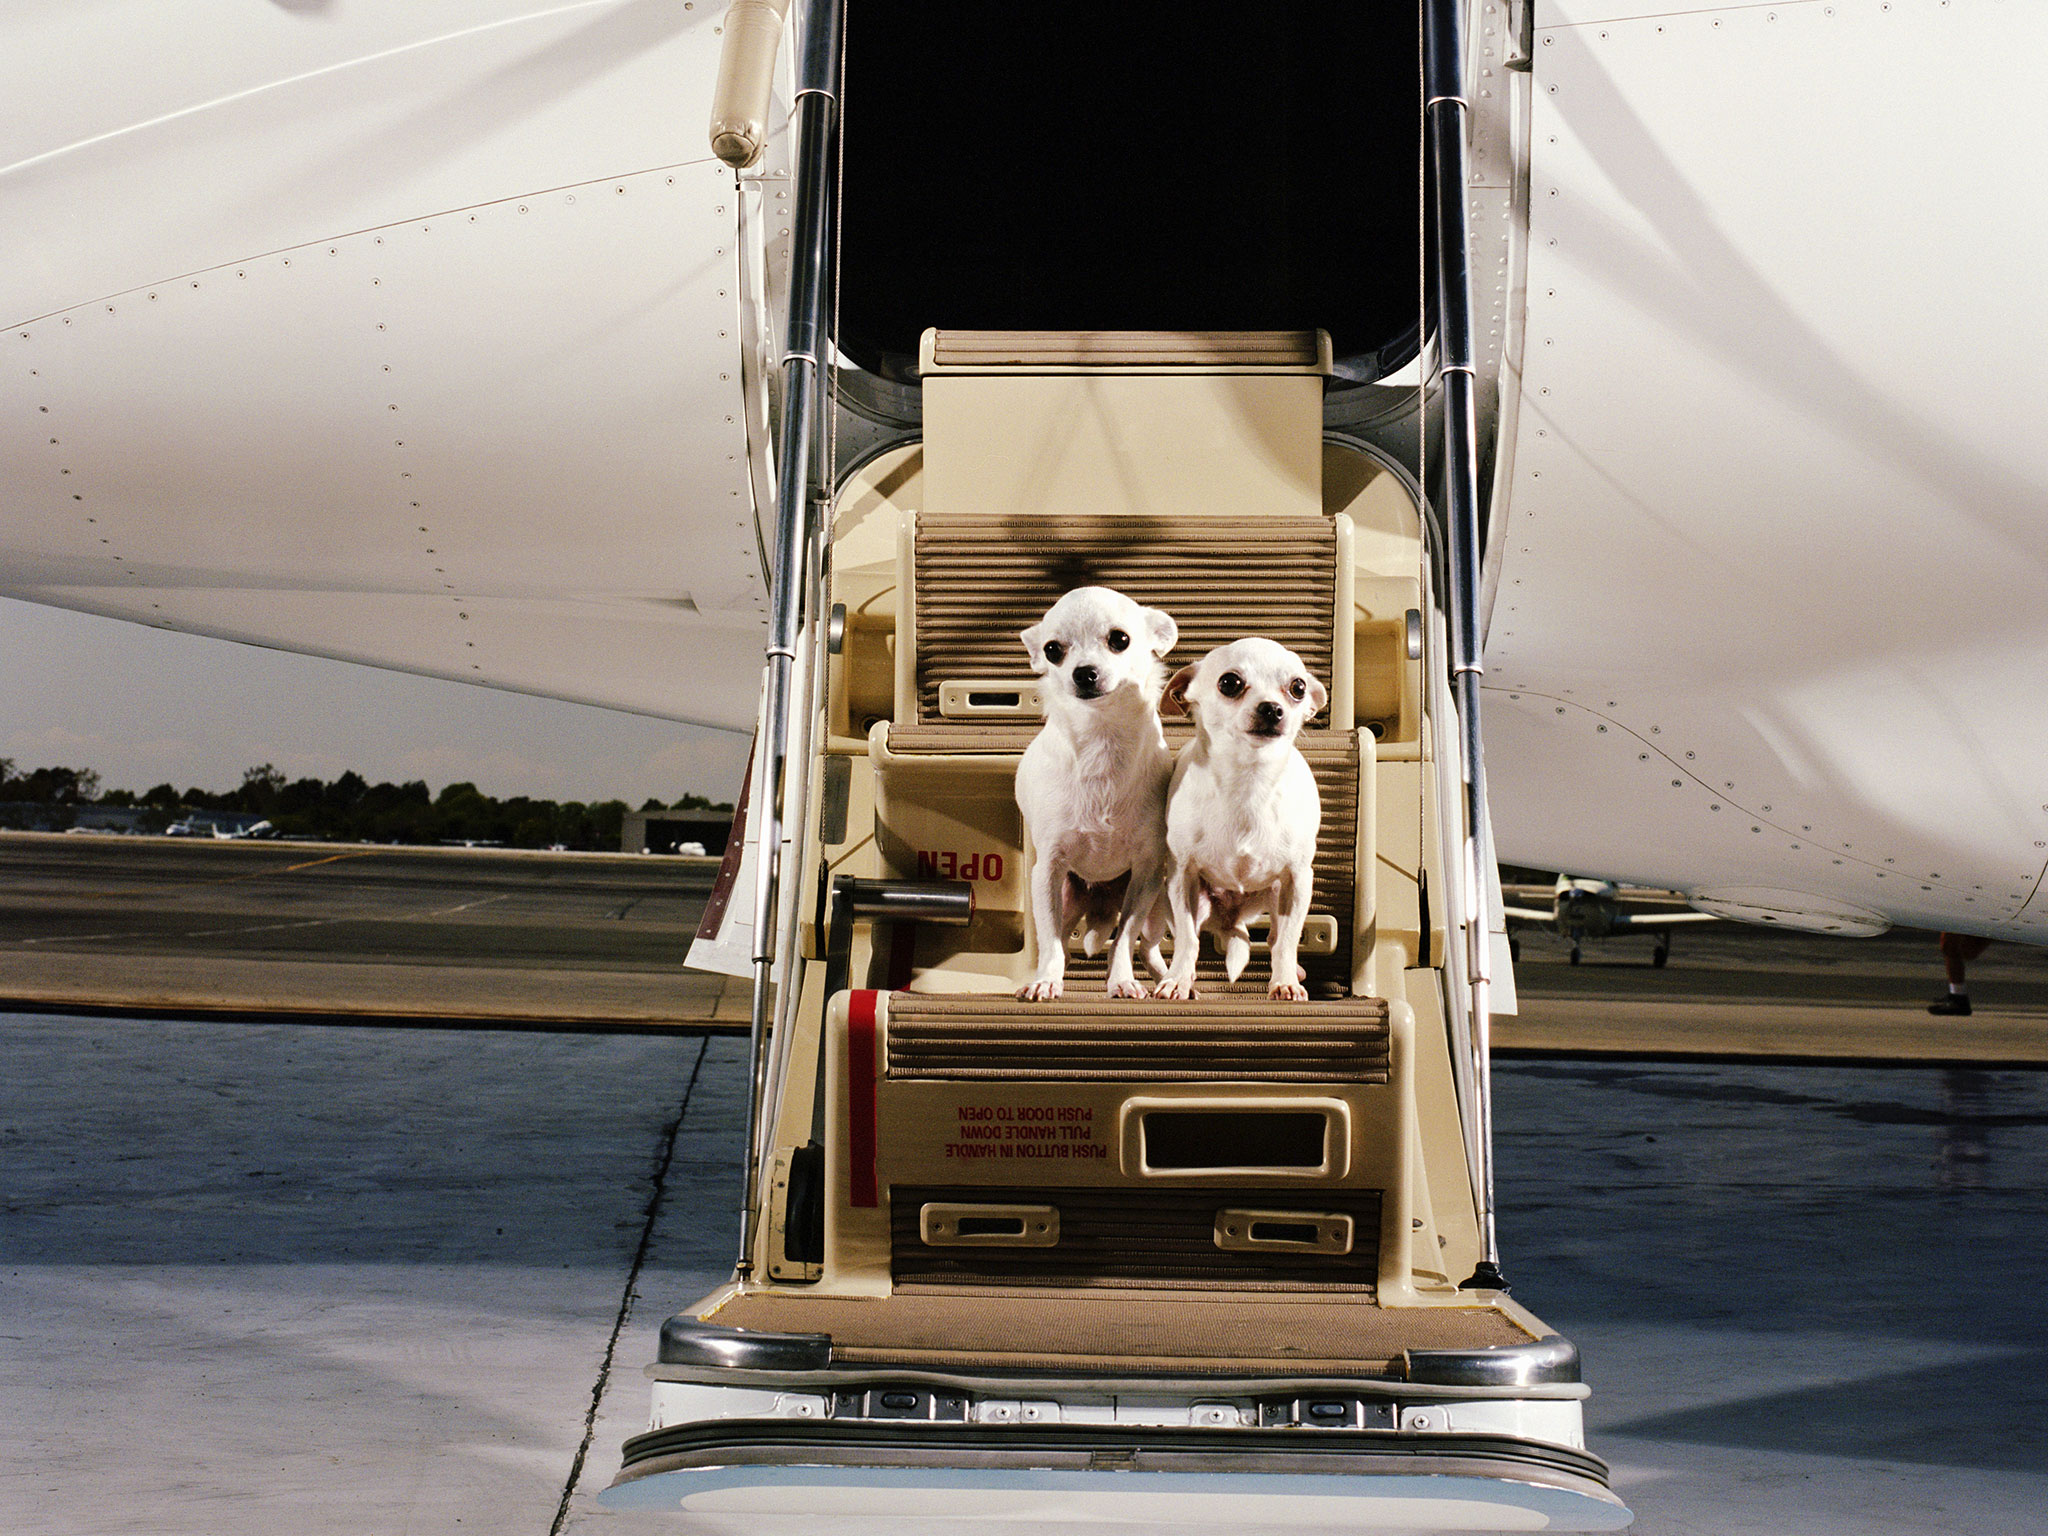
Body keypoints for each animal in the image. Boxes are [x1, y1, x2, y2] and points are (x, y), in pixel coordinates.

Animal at [1011, 581, 1179, 1003]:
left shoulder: (1146, 875)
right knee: (1059, 940)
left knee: (1147, 946)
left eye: (1120, 639)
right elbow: (1052, 943)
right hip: (1066, 898)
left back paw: (1164, 980)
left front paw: (1121, 980)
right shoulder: (1048, 871)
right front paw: (1045, 980)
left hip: (1158, 904)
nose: (1083, 672)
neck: (1101, 740)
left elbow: (1124, 940)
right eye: (1053, 650)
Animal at [1155, 638, 1327, 1011]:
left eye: (1298, 687)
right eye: (1230, 683)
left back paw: (1292, 972)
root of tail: (1233, 917)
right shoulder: (1182, 877)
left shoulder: (1298, 880)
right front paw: (1177, 981)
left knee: (1276, 936)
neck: (1249, 781)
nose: (1273, 708)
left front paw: (1285, 982)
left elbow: (1288, 941)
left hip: (1277, 897)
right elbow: (1188, 940)